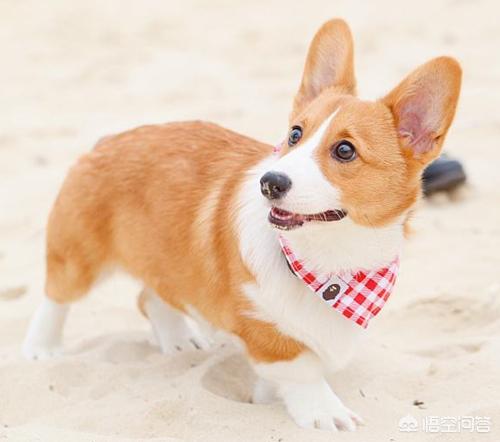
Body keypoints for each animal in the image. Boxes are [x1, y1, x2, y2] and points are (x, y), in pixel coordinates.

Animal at [23, 19, 461, 431]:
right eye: (295, 134)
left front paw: (267, 398)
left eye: (344, 150)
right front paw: (325, 412)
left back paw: (179, 340)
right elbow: (301, 369)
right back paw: (42, 348)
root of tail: (106, 141)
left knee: (150, 295)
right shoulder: (265, 329)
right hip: (79, 257)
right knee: (57, 297)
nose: (270, 182)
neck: (329, 263)